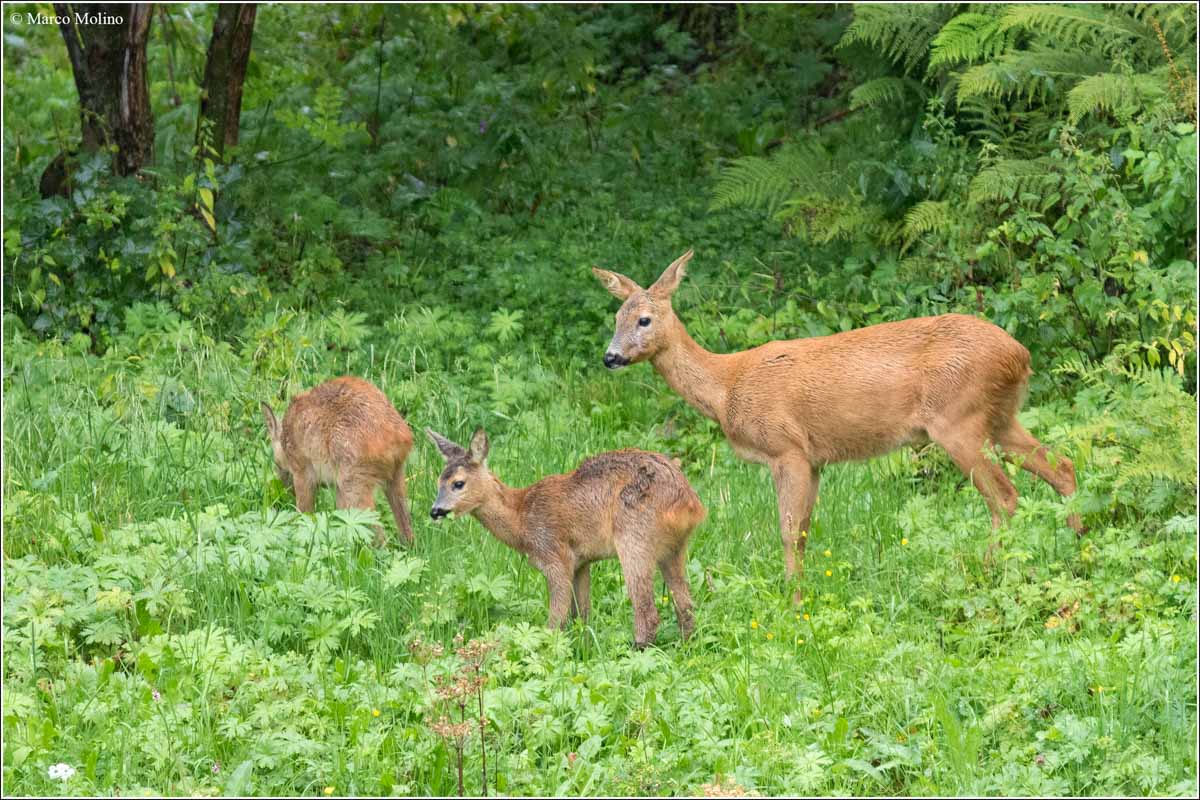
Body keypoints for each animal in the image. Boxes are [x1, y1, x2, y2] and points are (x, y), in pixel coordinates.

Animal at [260, 379, 415, 546]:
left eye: (276, 463)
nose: (286, 488)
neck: (285, 440)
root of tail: (397, 436)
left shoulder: (302, 473)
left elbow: (304, 513)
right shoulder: (338, 489)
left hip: (354, 483)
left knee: (377, 534)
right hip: (395, 477)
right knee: (407, 529)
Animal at [427, 429, 700, 647]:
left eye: (458, 483)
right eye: (438, 481)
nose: (435, 511)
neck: (521, 519)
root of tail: (689, 502)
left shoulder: (554, 557)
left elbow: (556, 622)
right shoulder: (581, 563)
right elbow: (582, 616)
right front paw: (583, 648)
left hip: (634, 537)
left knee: (647, 611)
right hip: (673, 548)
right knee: (685, 605)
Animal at [595, 250, 1084, 599]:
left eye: (644, 319)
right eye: (615, 318)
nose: (611, 357)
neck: (727, 385)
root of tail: (1020, 354)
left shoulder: (786, 448)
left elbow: (787, 531)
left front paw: (792, 602)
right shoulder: (815, 460)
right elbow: (804, 532)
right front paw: (803, 592)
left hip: (958, 420)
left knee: (1005, 496)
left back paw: (987, 571)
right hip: (1000, 416)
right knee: (1061, 466)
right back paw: (1079, 540)